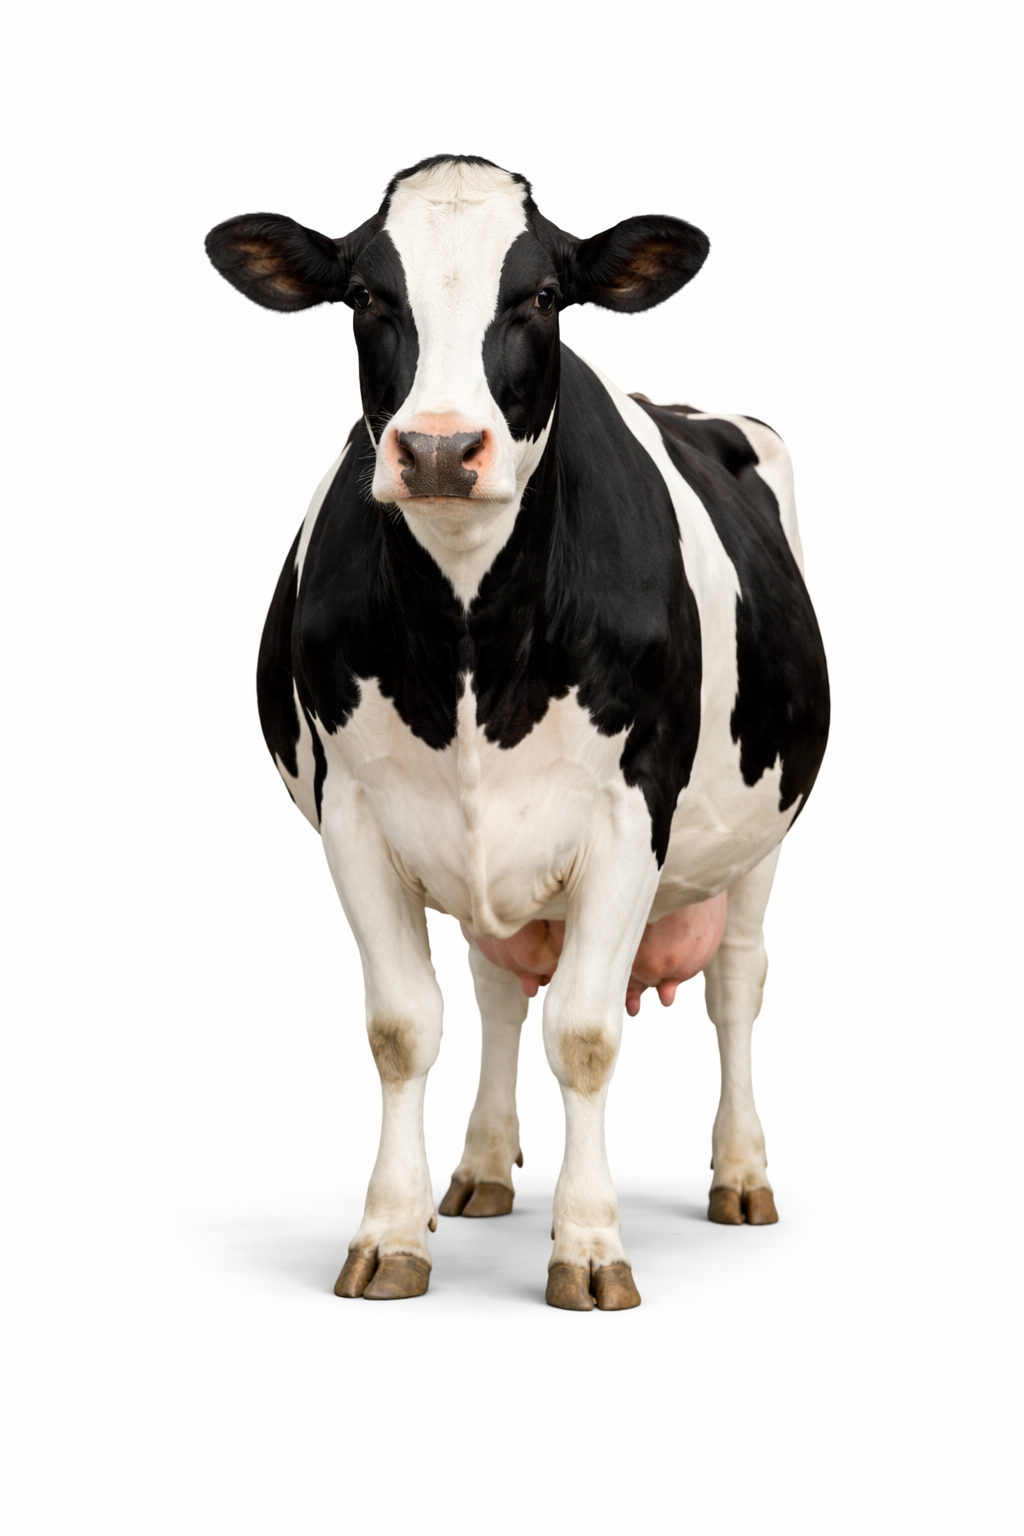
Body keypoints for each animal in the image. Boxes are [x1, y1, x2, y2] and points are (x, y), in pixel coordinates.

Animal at [205, 154, 829, 1311]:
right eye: (366, 295)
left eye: (540, 296)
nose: (441, 448)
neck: (471, 635)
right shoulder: (355, 816)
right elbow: (404, 1027)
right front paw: (390, 1234)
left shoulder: (631, 814)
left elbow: (582, 1032)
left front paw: (588, 1247)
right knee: (497, 989)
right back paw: (484, 1168)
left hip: (762, 835)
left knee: (737, 986)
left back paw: (741, 1174)